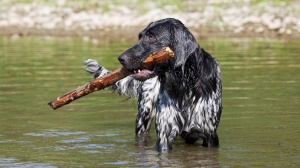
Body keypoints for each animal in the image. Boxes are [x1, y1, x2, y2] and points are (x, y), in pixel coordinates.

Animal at [84, 17, 220, 152]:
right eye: (140, 36)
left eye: (151, 37)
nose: (120, 59)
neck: (184, 84)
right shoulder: (164, 137)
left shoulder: (210, 136)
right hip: (143, 117)